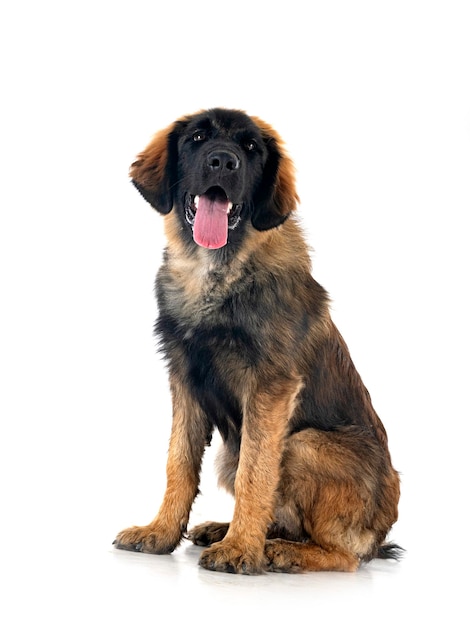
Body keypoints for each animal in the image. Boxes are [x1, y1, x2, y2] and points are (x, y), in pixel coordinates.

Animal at [113, 106, 400, 572]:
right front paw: (161, 533)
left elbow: (257, 470)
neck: (218, 272)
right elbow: (178, 462)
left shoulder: (270, 388)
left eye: (250, 147)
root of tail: (381, 536)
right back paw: (229, 530)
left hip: (303, 445)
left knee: (344, 557)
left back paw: (278, 550)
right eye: (197, 138)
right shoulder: (185, 380)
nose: (223, 162)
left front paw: (240, 549)